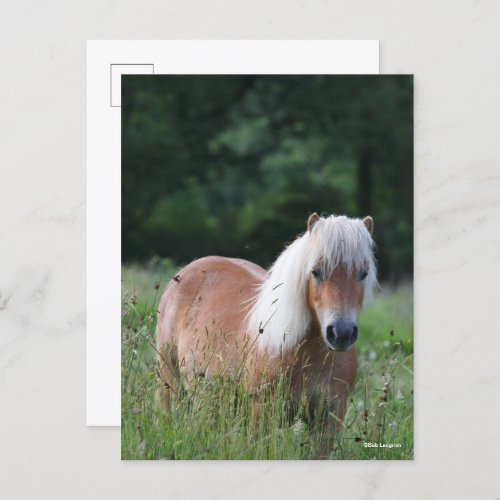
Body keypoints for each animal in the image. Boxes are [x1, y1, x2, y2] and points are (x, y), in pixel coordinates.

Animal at [156, 213, 376, 444]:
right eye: (316, 272)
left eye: (363, 274)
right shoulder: (262, 410)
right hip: (172, 381)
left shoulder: (330, 417)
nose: (341, 334)